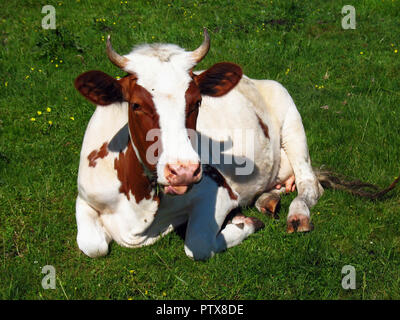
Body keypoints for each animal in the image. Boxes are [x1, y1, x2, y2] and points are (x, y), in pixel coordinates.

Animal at [73, 29, 324, 260]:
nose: (183, 170)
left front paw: (244, 223)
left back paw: (298, 215)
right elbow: (92, 246)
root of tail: (254, 79)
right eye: (136, 105)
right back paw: (268, 198)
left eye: (197, 101)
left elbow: (199, 243)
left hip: (291, 120)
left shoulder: (216, 188)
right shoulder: (84, 197)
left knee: (309, 183)